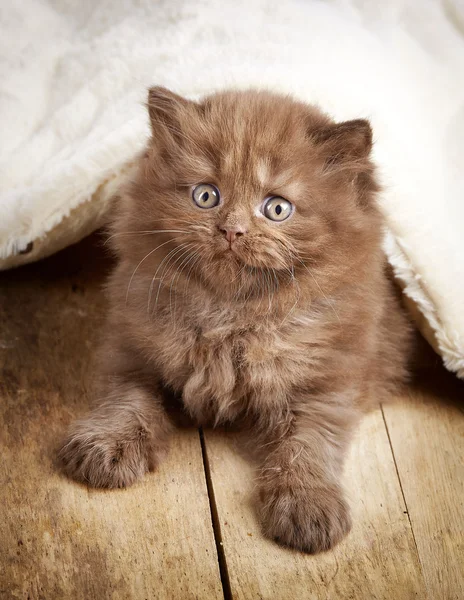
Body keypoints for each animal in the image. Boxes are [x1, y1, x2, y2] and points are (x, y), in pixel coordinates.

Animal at [59, 88, 414, 552]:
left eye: (277, 208)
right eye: (206, 196)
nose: (231, 231)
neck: (231, 316)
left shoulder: (330, 380)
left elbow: (309, 443)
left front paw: (308, 506)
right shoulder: (132, 349)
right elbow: (129, 401)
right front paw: (105, 446)